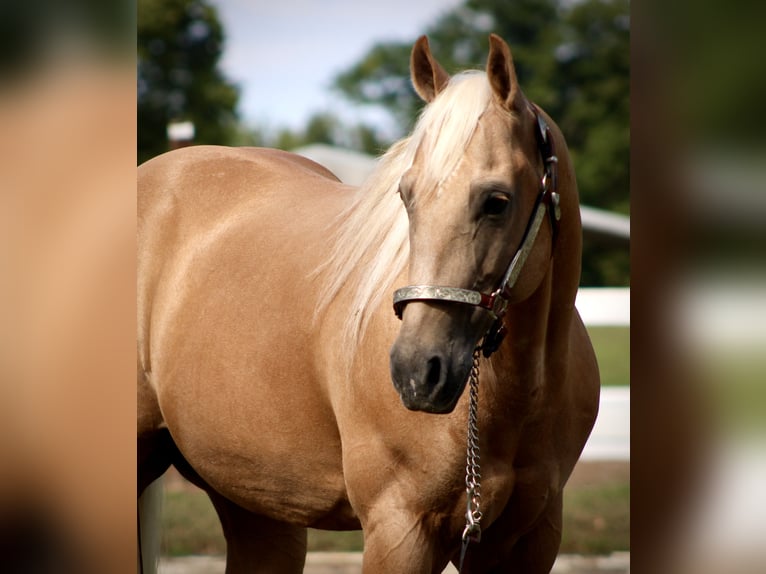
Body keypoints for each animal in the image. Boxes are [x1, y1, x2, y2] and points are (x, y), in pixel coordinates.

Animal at [137, 34, 599, 573]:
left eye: (497, 201)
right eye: (406, 195)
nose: (416, 371)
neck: (518, 398)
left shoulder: (529, 539)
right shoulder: (401, 530)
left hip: (257, 504)